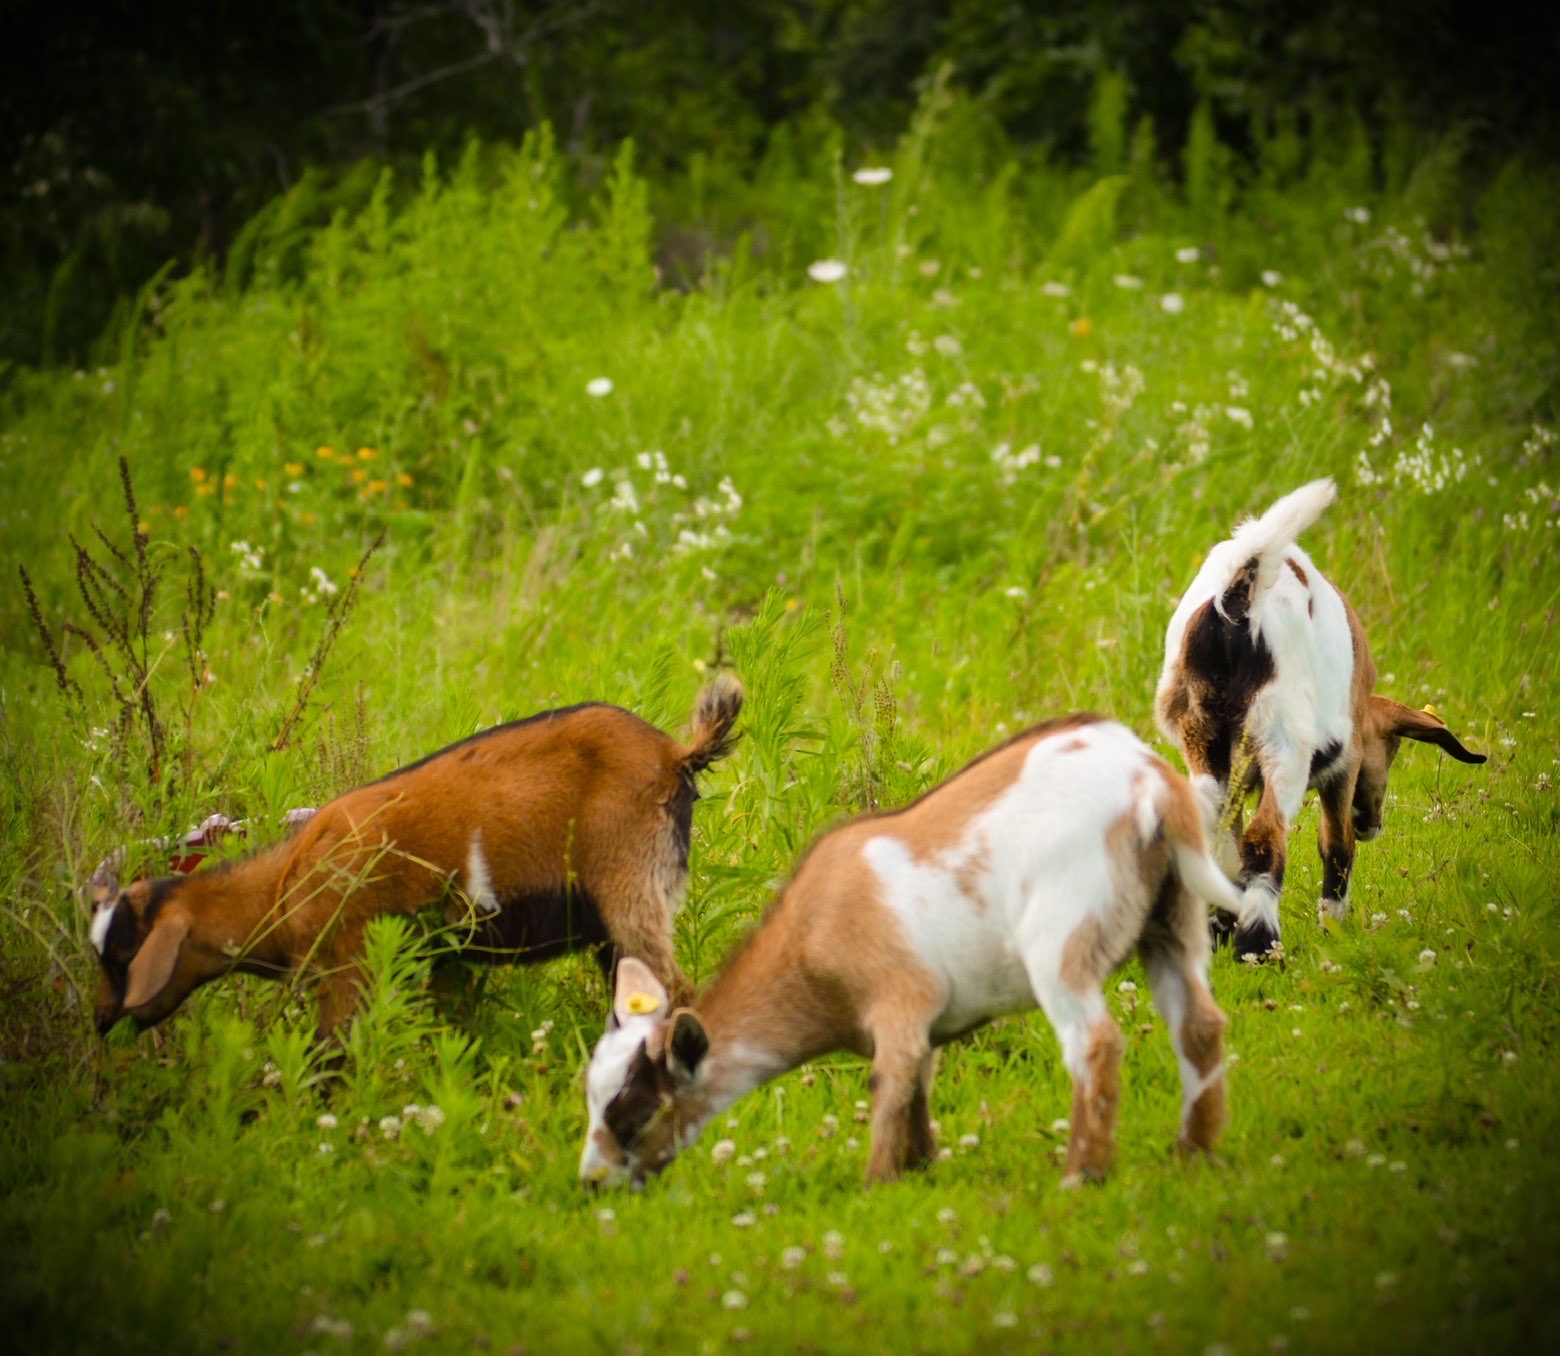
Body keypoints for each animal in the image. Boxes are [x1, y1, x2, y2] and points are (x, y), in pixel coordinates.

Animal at [89, 676, 743, 1041]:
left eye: (123, 952)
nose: (102, 1020)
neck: (282, 887)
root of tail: (674, 754)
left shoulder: (349, 959)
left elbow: (332, 1052)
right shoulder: (448, 956)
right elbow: (451, 1026)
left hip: (628, 880)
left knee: (677, 992)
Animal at [578, 715, 1236, 1190]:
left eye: (635, 1111)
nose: (590, 1184)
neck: (811, 937)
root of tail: (1151, 785)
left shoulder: (899, 999)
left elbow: (890, 1084)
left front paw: (877, 1184)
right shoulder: (930, 1021)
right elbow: (918, 1082)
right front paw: (923, 1167)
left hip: (1063, 937)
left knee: (1093, 1043)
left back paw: (1082, 1174)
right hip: (1172, 919)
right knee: (1200, 1024)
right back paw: (1194, 1156)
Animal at [1155, 479, 1485, 961]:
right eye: (1392, 749)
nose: (1373, 824)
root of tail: (1237, 601)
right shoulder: (1342, 769)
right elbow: (1336, 844)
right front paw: (1335, 928)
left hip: (1202, 742)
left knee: (1215, 840)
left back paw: (1217, 936)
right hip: (1283, 745)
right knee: (1265, 838)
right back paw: (1260, 948)